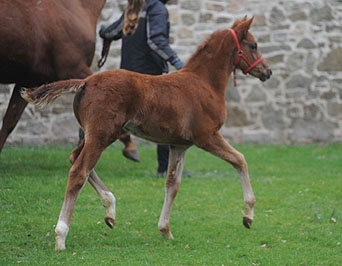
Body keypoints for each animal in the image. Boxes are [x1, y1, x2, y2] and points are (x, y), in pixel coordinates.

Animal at [22, 17, 272, 250]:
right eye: (253, 44)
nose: (267, 71)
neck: (204, 83)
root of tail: (85, 82)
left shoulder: (179, 144)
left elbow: (172, 184)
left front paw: (165, 230)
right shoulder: (207, 137)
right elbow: (240, 160)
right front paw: (248, 216)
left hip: (94, 134)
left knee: (74, 158)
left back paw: (110, 209)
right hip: (102, 135)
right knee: (78, 171)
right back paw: (61, 236)